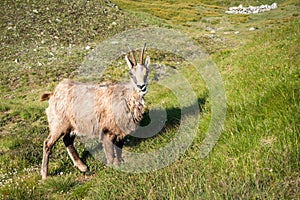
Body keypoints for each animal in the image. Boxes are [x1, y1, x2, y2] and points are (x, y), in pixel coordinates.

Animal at [39, 44, 150, 180]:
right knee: (48, 143)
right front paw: (112, 169)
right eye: (131, 74)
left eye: (146, 72)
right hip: (58, 124)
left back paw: (82, 167)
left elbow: (119, 151)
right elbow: (110, 154)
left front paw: (119, 165)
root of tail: (53, 94)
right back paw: (45, 174)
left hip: (72, 124)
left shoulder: (119, 131)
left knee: (67, 140)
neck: (126, 98)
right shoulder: (107, 130)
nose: (142, 87)